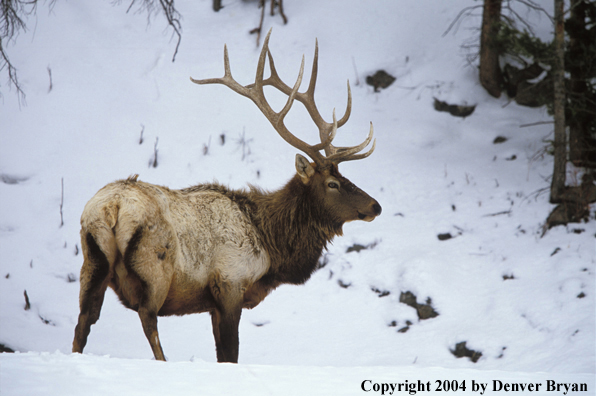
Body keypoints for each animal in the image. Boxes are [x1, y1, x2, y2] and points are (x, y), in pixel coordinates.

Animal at [72, 31, 380, 362]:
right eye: (333, 183)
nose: (376, 205)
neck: (271, 248)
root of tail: (112, 207)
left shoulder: (213, 304)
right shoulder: (230, 284)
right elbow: (230, 353)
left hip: (92, 262)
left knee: (84, 320)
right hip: (154, 266)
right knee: (147, 317)